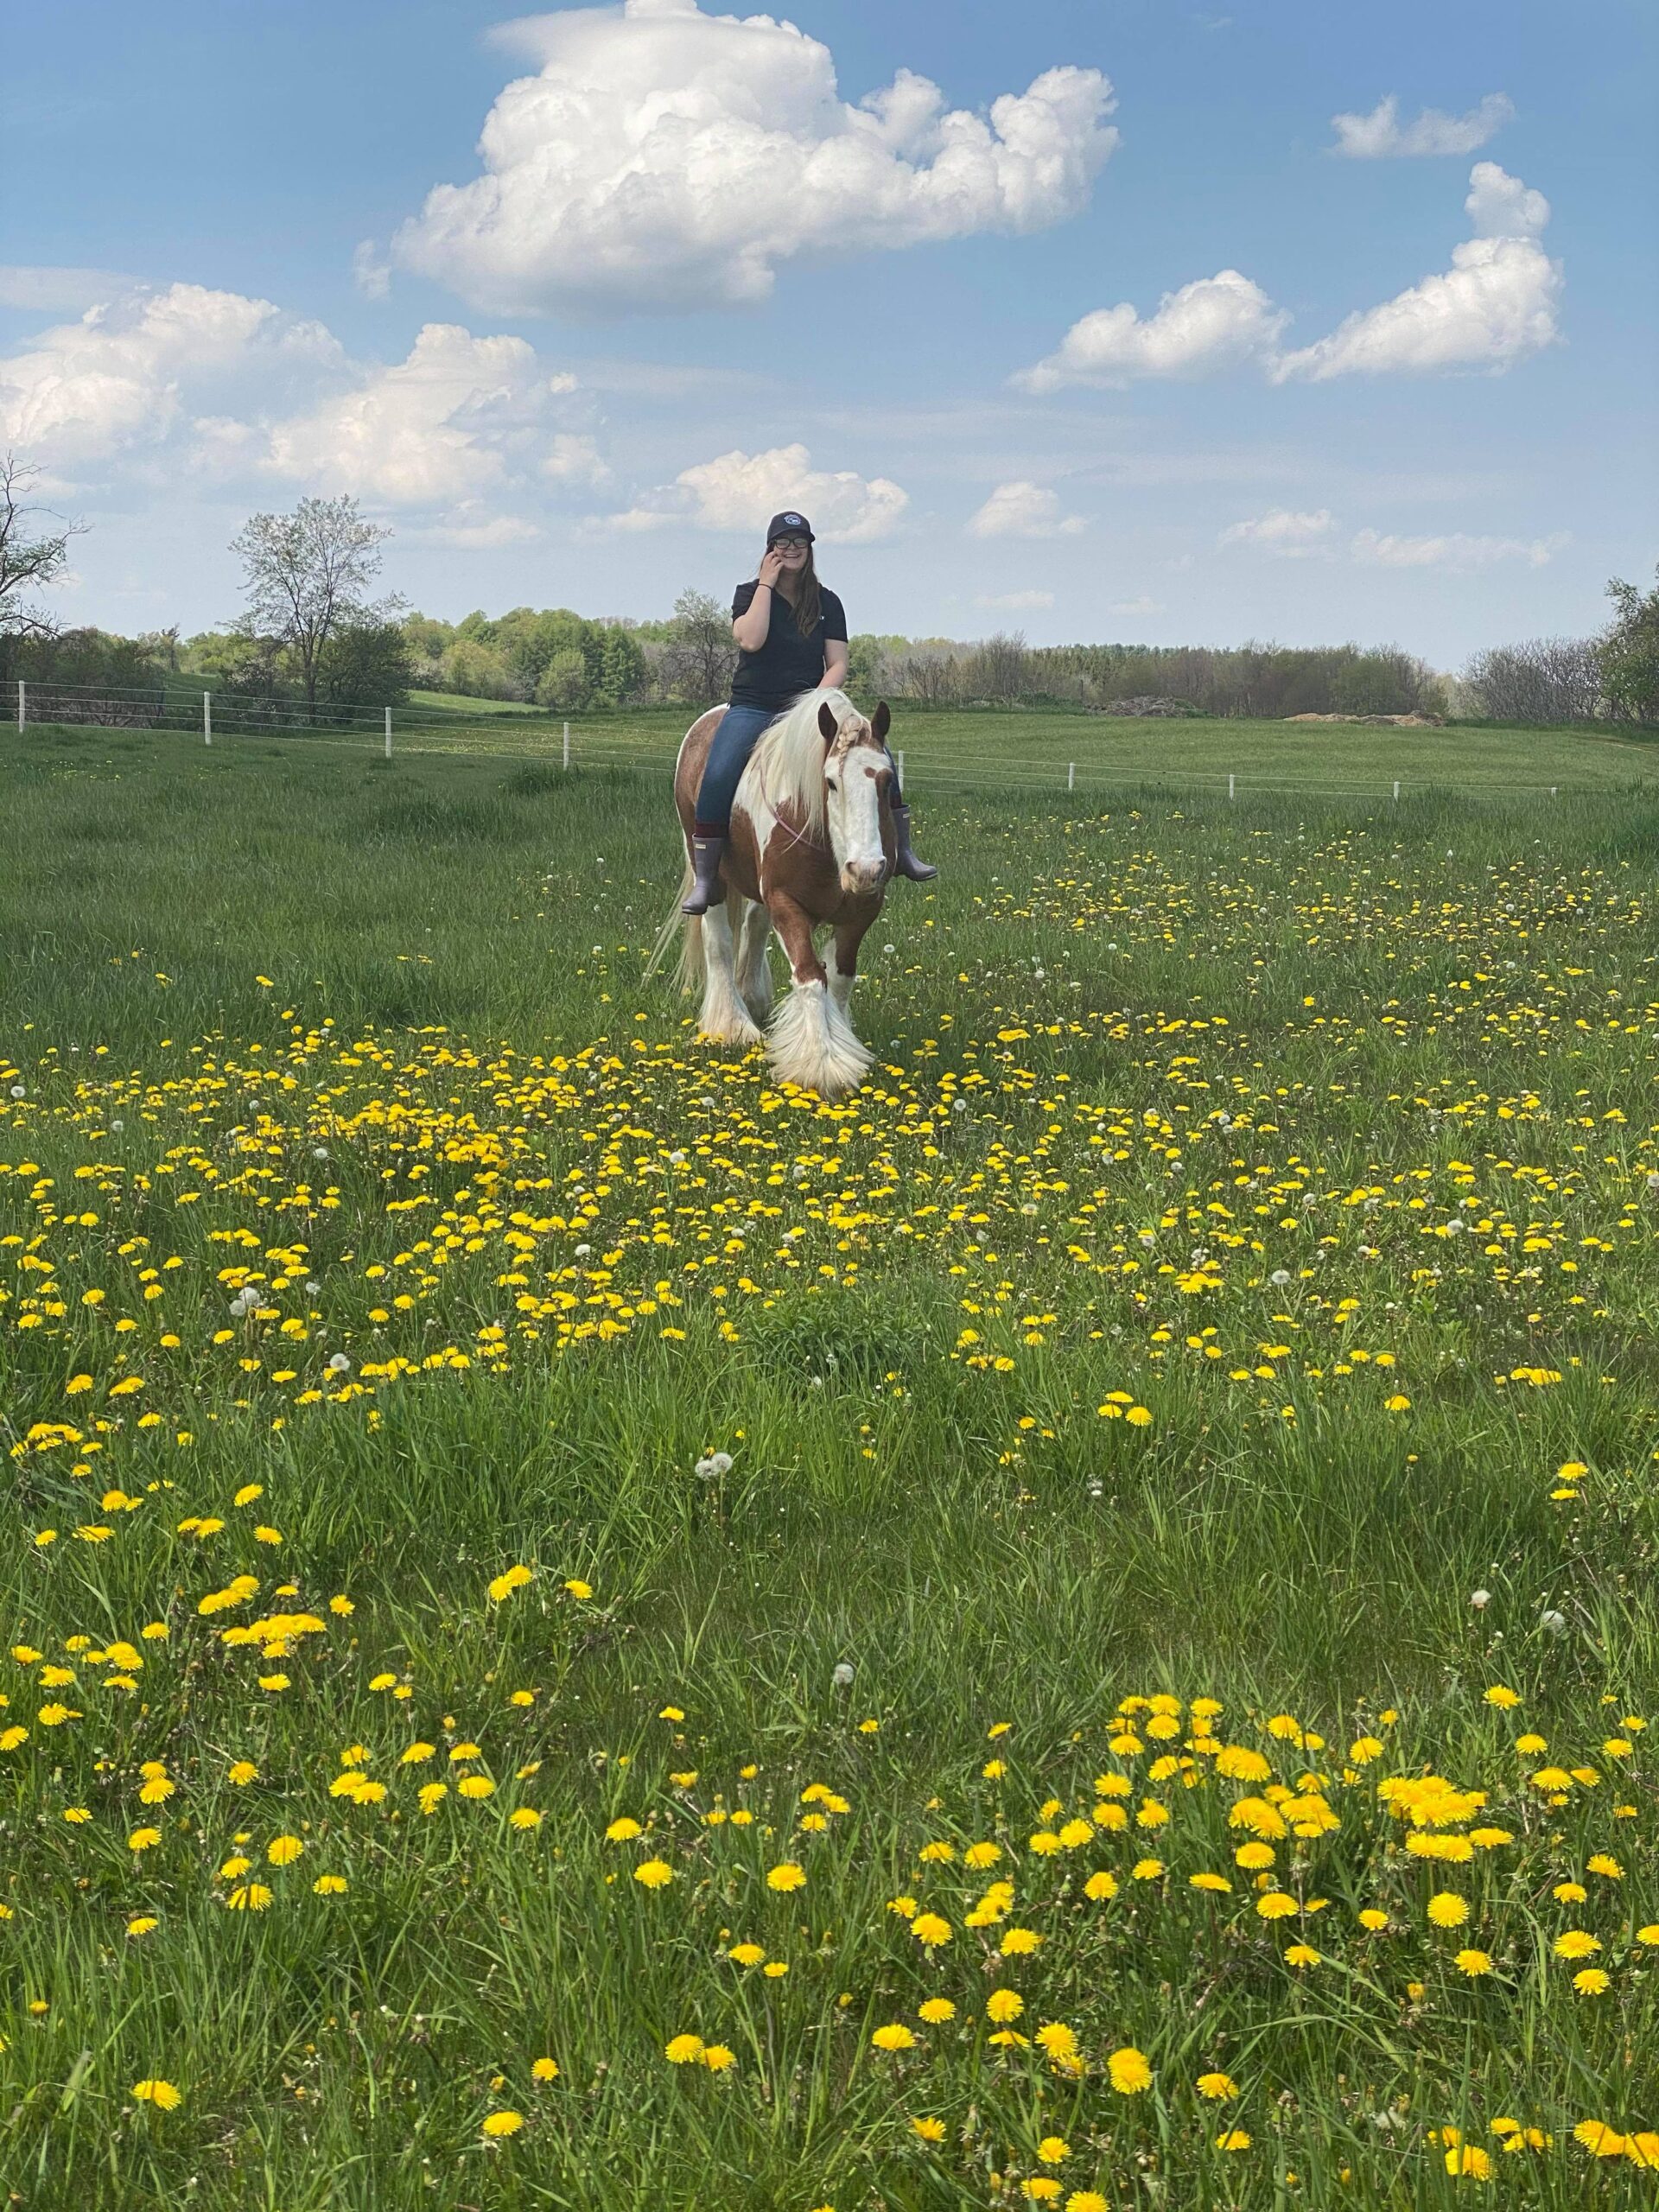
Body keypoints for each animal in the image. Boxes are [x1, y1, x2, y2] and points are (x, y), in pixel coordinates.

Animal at [646, 688, 896, 1099]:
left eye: (887, 781)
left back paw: (752, 996)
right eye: (831, 782)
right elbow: (811, 978)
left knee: (754, 925)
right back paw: (731, 1025)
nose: (865, 870)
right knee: (719, 942)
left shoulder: (861, 911)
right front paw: (820, 1066)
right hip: (706, 871)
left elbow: (840, 977)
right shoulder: (786, 904)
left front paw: (843, 1046)